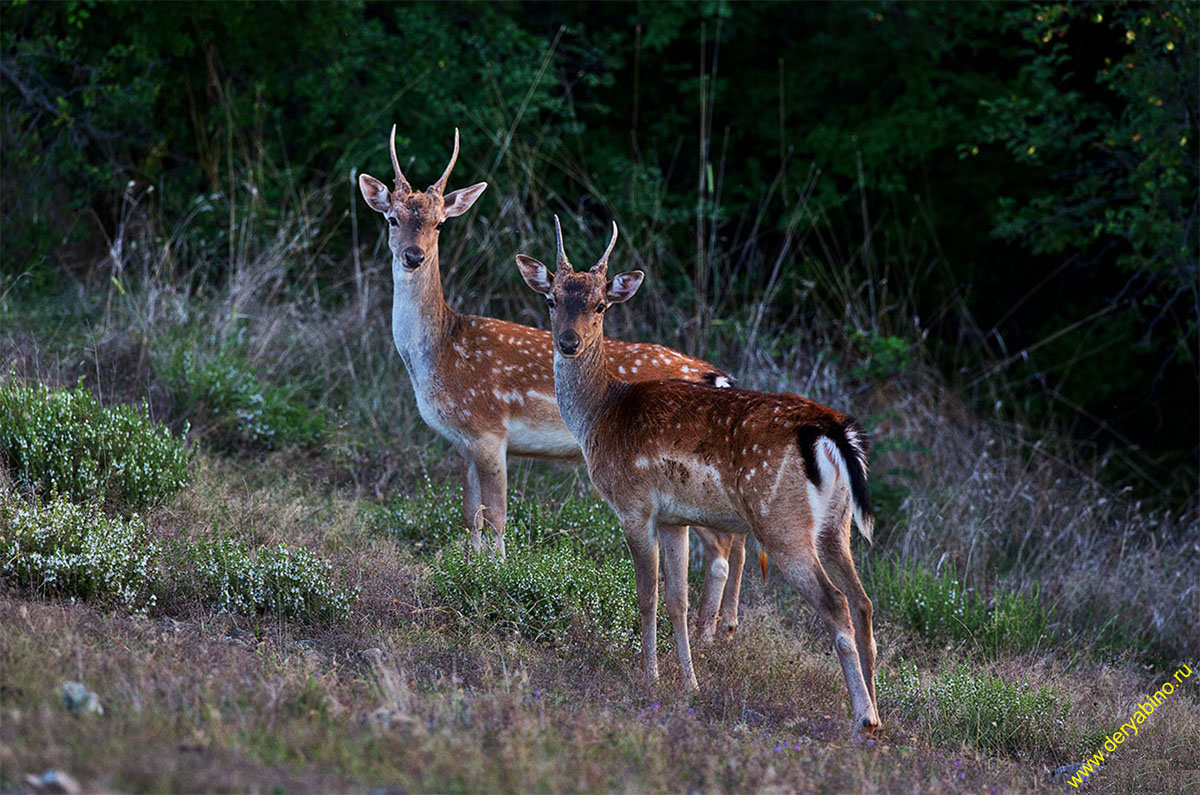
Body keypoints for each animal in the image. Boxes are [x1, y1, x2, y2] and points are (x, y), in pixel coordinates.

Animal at [355, 127, 748, 643]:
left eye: (439, 224)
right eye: (392, 217)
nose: (413, 255)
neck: (439, 353)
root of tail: (717, 376)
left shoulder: (488, 430)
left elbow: (497, 516)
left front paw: (498, 582)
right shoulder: (463, 440)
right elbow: (469, 514)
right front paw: (469, 572)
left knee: (721, 547)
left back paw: (706, 635)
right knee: (737, 542)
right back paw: (726, 627)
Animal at [516, 219, 883, 739]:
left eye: (600, 305)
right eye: (552, 299)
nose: (568, 342)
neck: (601, 415)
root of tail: (832, 431)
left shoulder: (634, 505)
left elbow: (646, 594)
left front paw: (648, 676)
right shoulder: (675, 517)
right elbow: (678, 599)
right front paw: (688, 683)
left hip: (782, 520)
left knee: (836, 603)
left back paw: (862, 720)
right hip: (836, 523)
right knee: (864, 600)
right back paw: (880, 714)